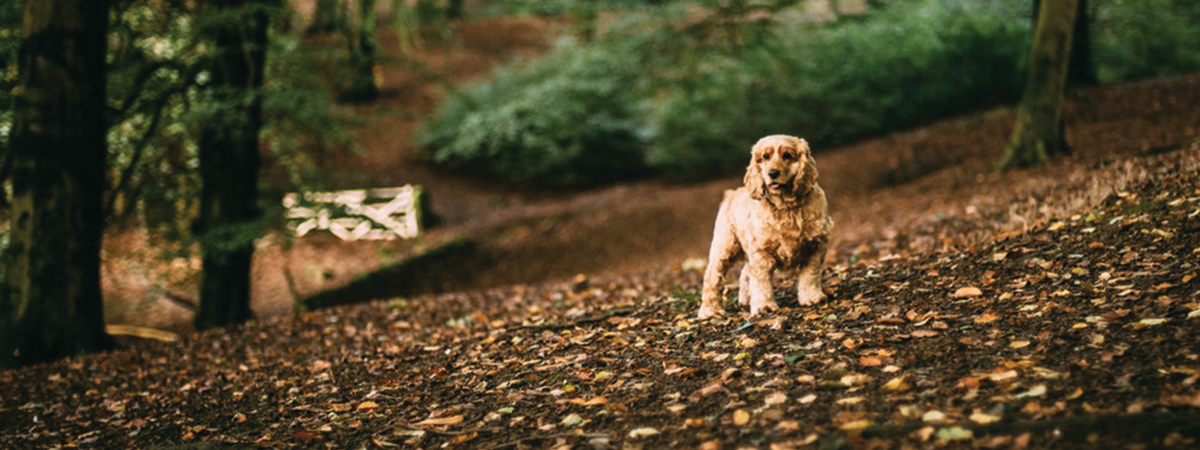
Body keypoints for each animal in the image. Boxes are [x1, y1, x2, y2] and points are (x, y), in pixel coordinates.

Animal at [700, 135, 830, 321]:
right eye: (765, 157)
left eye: (787, 155)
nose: (772, 173)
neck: (786, 207)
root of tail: (730, 194)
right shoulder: (762, 251)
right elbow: (761, 281)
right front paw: (764, 307)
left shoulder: (815, 245)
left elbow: (810, 275)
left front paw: (812, 298)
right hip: (724, 247)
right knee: (712, 276)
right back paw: (709, 311)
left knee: (745, 271)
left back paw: (745, 299)